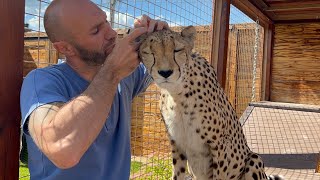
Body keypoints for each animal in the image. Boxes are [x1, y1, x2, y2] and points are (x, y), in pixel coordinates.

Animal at [139, 25, 284, 180]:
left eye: (177, 50)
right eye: (149, 52)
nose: (165, 72)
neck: (177, 94)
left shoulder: (219, 144)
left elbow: (219, 174)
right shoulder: (177, 143)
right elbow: (177, 173)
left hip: (254, 159)